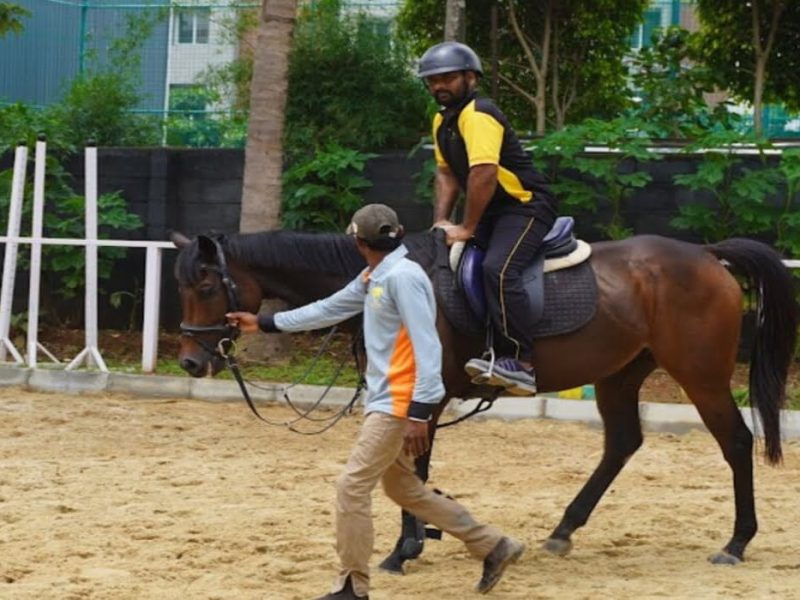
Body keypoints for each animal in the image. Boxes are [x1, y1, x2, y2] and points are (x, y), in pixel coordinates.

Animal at [170, 227, 798, 570]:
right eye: (182, 285)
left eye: (205, 284)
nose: (191, 361)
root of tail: (707, 255)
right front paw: (418, 538)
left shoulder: (425, 395)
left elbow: (417, 469)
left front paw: (404, 549)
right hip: (620, 375)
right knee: (622, 443)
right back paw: (564, 531)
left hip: (701, 376)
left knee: (736, 442)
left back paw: (737, 542)